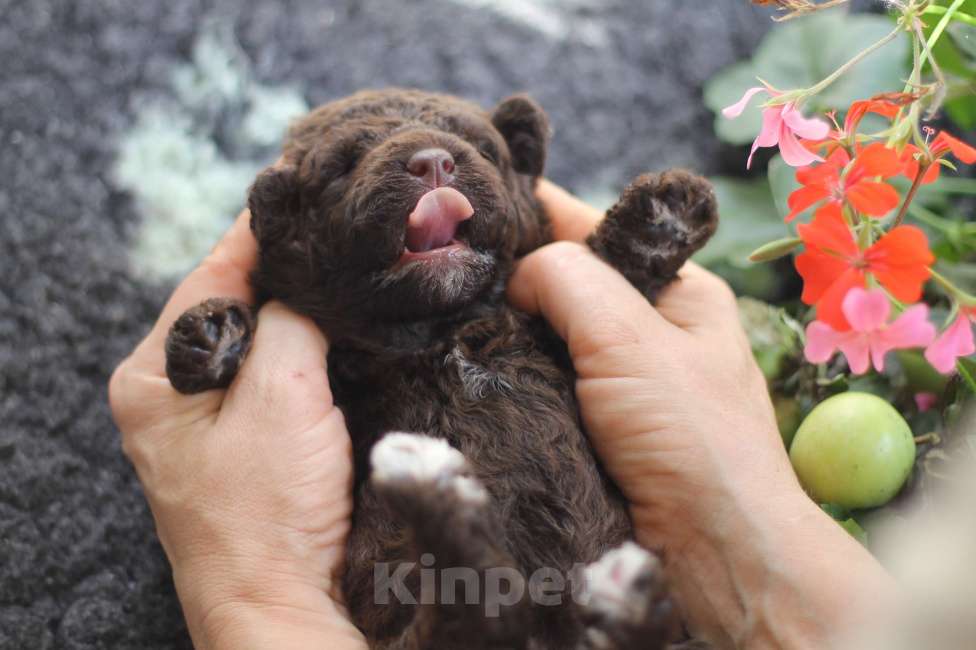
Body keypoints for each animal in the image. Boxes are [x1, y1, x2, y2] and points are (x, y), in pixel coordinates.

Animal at [166, 87, 716, 648]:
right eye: (343, 166)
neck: (439, 331)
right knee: (478, 608)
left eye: (483, 148)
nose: (433, 161)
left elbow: (618, 270)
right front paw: (213, 334)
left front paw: (661, 219)